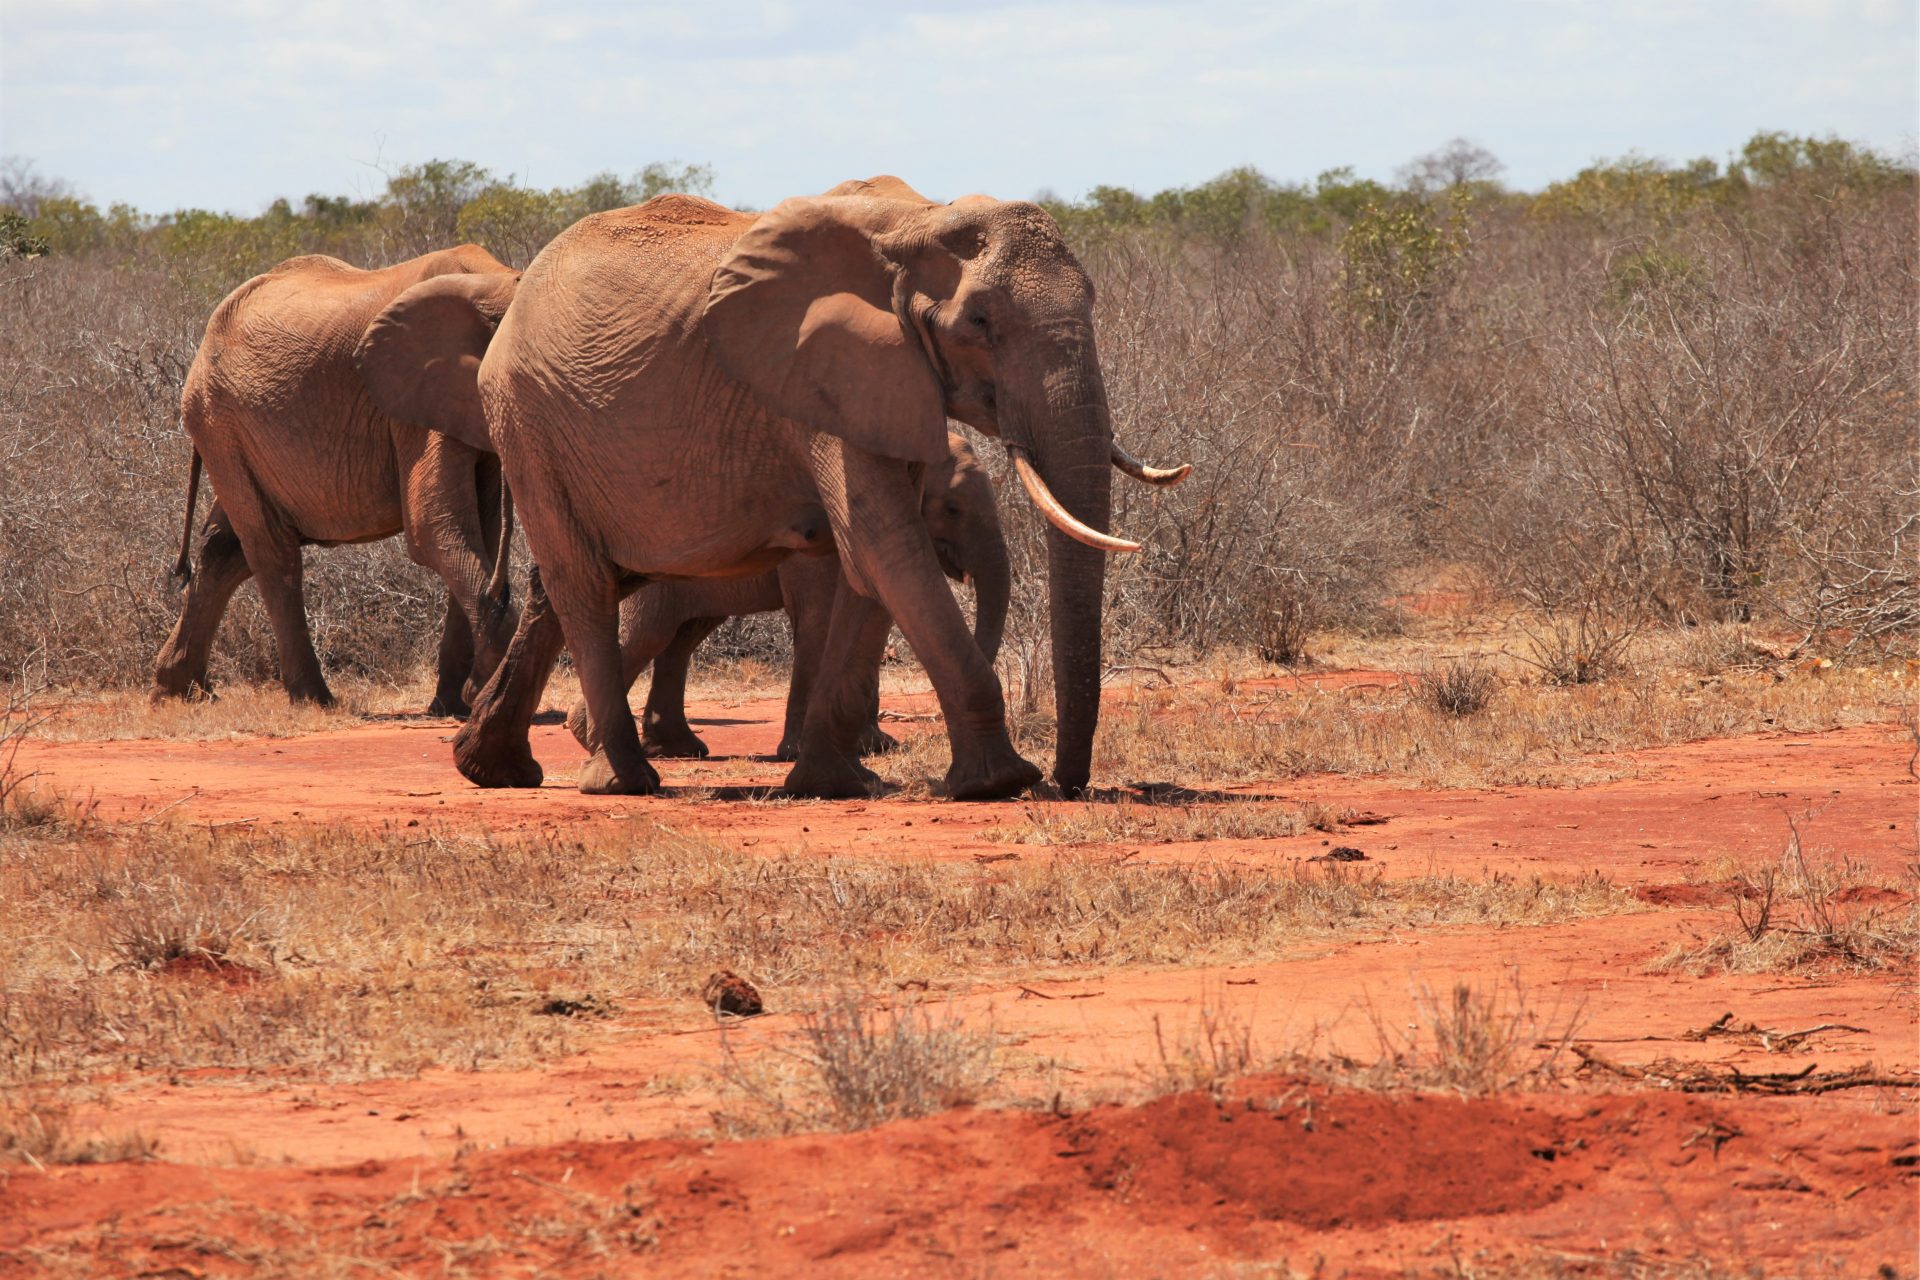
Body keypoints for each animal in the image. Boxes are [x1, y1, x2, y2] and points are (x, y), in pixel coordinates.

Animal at [568, 435, 1013, 767]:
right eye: (952, 508)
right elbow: (819, 618)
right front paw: (802, 752)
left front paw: (874, 746)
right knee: (649, 633)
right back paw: (593, 740)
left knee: (683, 638)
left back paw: (677, 750)